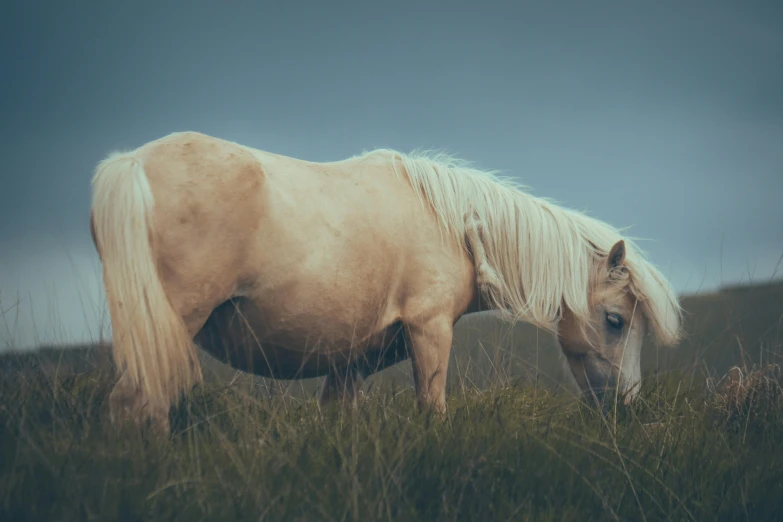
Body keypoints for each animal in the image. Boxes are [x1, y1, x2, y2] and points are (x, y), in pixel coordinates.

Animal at [89, 130, 684, 430]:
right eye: (615, 320)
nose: (625, 408)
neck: (453, 223)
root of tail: (130, 164)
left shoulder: (347, 363)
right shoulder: (429, 330)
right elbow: (433, 410)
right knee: (137, 406)